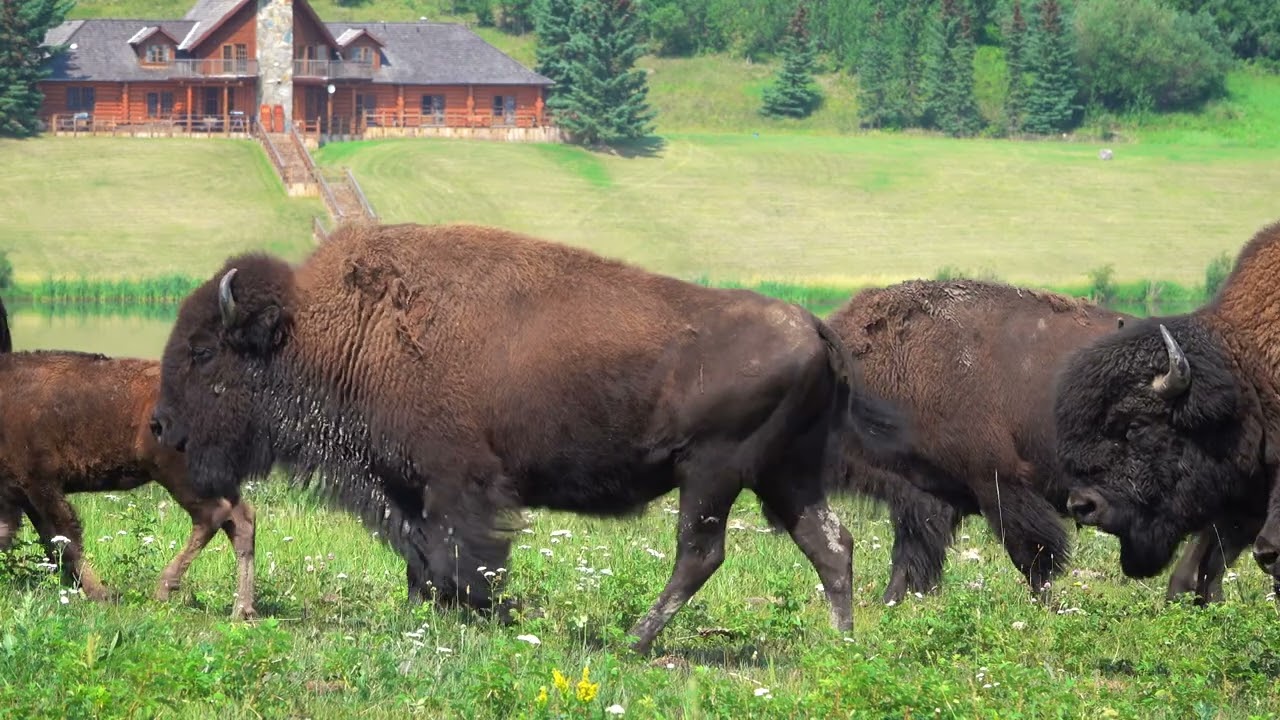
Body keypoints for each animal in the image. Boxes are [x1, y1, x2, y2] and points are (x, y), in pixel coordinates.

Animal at [0, 298, 257, 617]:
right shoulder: (19, 494)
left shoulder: (40, 484)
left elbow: (65, 540)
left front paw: (101, 594)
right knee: (242, 520)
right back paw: (243, 610)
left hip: (178, 475)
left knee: (214, 515)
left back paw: (163, 589)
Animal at [149, 221, 907, 653]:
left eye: (203, 352)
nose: (161, 425)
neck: (338, 330)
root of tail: (815, 325)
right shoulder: (406, 486)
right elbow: (418, 552)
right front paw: (423, 611)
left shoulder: (460, 483)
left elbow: (463, 555)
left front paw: (481, 612)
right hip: (785, 474)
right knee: (830, 544)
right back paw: (841, 642)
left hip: (714, 473)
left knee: (702, 553)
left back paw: (634, 641)